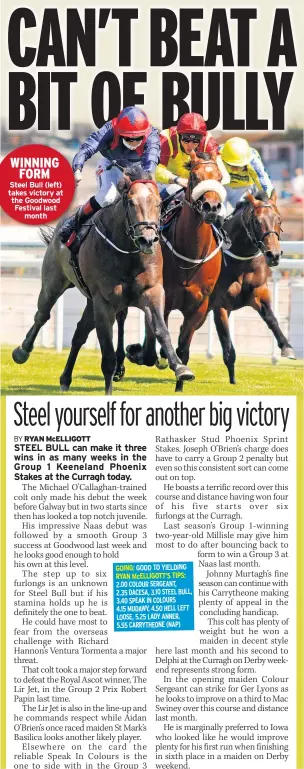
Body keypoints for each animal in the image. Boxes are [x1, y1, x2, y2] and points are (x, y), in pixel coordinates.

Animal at [12, 169, 195, 396]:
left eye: (159, 203)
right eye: (131, 202)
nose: (147, 239)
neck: (128, 252)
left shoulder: (152, 291)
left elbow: (162, 329)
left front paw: (180, 367)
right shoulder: (104, 302)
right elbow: (107, 353)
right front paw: (109, 390)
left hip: (90, 301)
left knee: (79, 334)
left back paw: (65, 378)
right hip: (53, 284)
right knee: (42, 315)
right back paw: (22, 351)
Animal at [124, 150, 227, 390]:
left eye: (219, 177)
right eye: (194, 177)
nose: (211, 207)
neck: (191, 253)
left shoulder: (200, 305)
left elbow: (183, 347)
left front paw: (180, 381)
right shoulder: (163, 297)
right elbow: (152, 345)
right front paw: (138, 352)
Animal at [208, 190, 296, 384]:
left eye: (279, 219)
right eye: (257, 221)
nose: (274, 255)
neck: (241, 262)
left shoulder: (259, 293)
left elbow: (272, 319)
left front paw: (287, 347)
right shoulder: (220, 305)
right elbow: (227, 342)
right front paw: (233, 380)